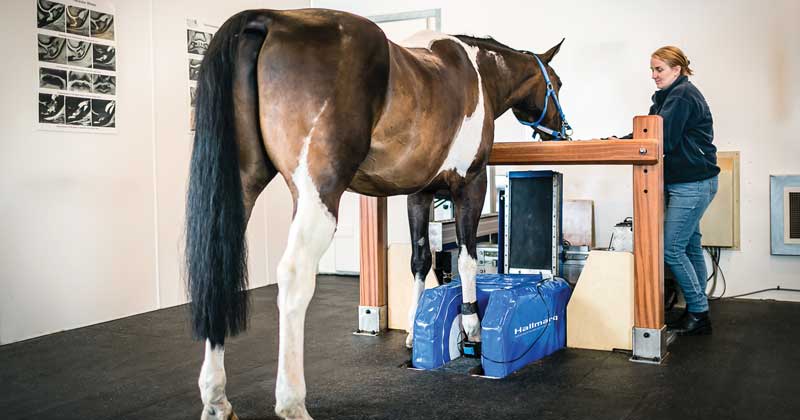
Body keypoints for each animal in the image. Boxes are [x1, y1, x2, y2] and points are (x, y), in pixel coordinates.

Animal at [184, 7, 564, 420]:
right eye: (556, 84)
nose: (561, 130)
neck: (477, 72)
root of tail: (269, 19)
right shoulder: (471, 184)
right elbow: (467, 259)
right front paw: (471, 327)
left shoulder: (419, 194)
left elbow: (419, 261)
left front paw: (414, 332)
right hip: (318, 196)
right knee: (294, 278)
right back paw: (291, 403)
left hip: (240, 188)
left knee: (218, 269)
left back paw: (216, 399)